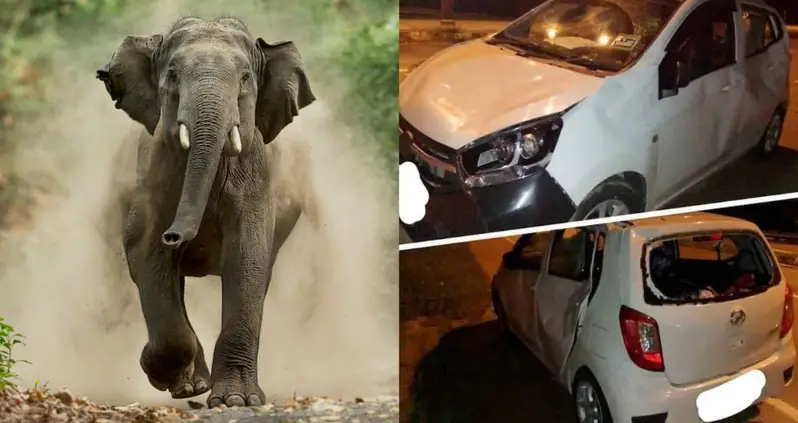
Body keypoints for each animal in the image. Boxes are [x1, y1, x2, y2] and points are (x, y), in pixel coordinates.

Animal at [95, 17, 314, 410]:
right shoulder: (153, 173)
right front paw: (159, 371)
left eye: (245, 77)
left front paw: (237, 401)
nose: (175, 235)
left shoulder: (255, 174)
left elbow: (248, 258)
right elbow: (144, 248)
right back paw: (189, 386)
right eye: (172, 74)